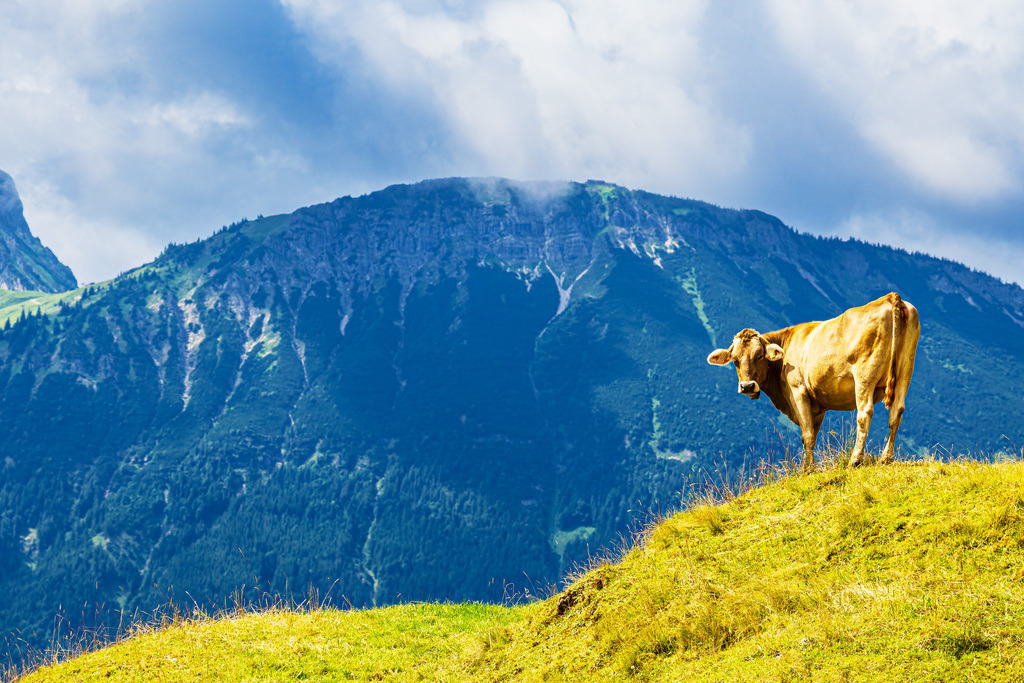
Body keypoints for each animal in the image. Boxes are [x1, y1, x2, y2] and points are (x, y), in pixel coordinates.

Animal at [706, 292, 920, 472]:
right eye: (735, 360)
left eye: (759, 355)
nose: (747, 386)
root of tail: (889, 297)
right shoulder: (817, 405)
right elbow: (812, 434)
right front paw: (809, 466)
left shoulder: (798, 391)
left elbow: (807, 434)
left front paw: (808, 470)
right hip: (906, 369)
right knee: (896, 412)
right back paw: (886, 458)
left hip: (865, 373)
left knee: (864, 412)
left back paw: (855, 460)